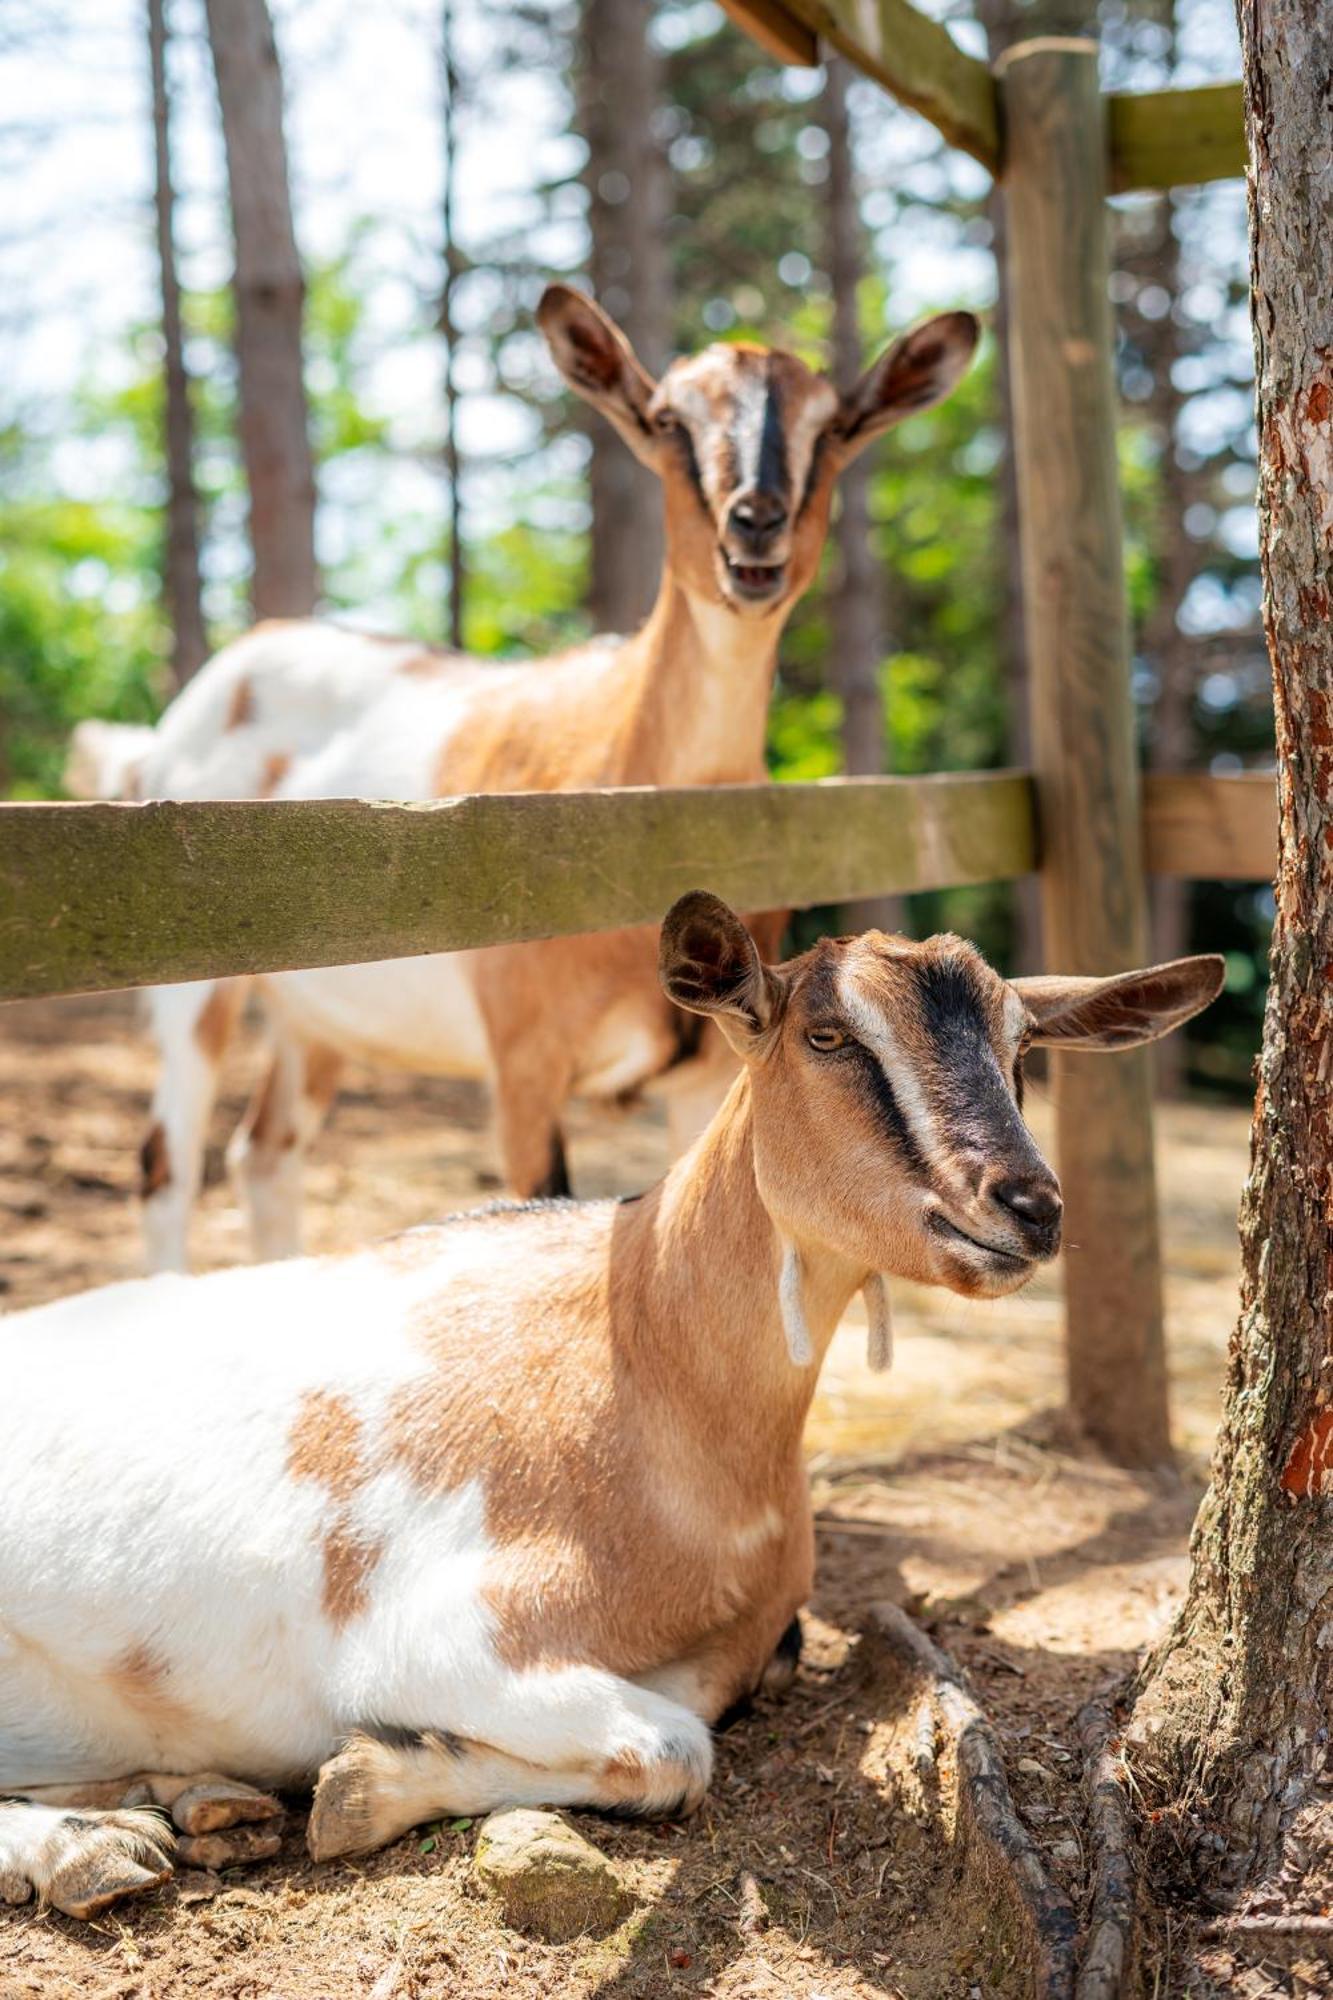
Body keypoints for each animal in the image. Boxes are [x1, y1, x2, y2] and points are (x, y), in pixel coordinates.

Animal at [0, 900, 1216, 1912]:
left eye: (1022, 1050)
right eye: (827, 1035)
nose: (1028, 1206)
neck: (636, 1363)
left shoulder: (743, 1647)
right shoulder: (429, 1638)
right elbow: (675, 1748)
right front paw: (361, 1783)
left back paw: (193, 1800)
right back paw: (89, 1848)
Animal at [65, 290, 976, 1272]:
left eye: (833, 425)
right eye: (667, 420)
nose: (755, 522)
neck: (632, 769)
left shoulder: (713, 1063)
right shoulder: (524, 1065)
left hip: (316, 1017)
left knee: (264, 1154)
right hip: (190, 989)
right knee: (167, 1164)